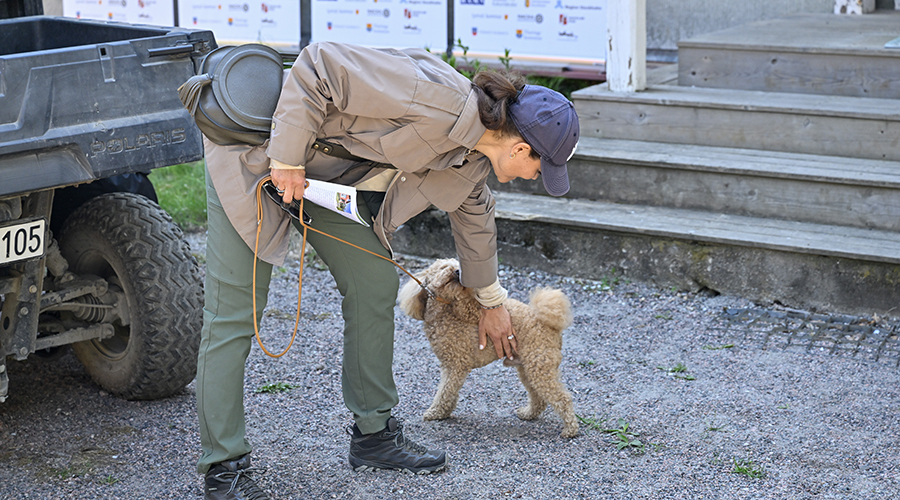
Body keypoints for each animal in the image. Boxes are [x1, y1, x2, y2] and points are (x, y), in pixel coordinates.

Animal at [400, 258, 580, 438]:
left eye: (459, 267)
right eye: (444, 267)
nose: (457, 272)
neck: (447, 312)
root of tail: (549, 323)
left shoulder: (456, 366)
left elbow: (444, 391)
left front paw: (435, 412)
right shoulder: (448, 365)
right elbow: (449, 391)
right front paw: (445, 412)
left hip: (540, 366)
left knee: (563, 397)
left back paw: (570, 429)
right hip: (528, 367)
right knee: (539, 397)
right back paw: (528, 414)